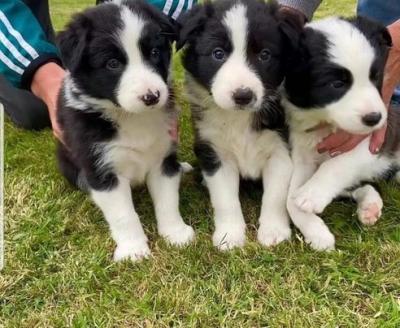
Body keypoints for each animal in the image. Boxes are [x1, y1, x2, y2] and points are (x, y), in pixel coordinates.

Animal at [55, 0, 194, 262]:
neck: (131, 117)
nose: (152, 96)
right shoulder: (102, 170)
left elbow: (168, 200)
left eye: (154, 53)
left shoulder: (163, 158)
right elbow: (123, 214)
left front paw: (176, 233)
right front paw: (133, 250)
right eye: (112, 63)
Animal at [178, 0, 296, 250]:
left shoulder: (282, 151)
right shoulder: (215, 153)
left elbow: (275, 196)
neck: (238, 118)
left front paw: (274, 231)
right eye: (218, 54)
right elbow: (225, 199)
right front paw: (229, 236)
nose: (243, 96)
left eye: (264, 55)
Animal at [282, 16, 398, 250]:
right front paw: (317, 233)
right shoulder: (303, 156)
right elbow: (290, 200)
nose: (375, 118)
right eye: (336, 84)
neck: (324, 121)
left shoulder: (366, 141)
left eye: (375, 77)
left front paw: (312, 194)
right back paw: (369, 207)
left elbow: (336, 164)